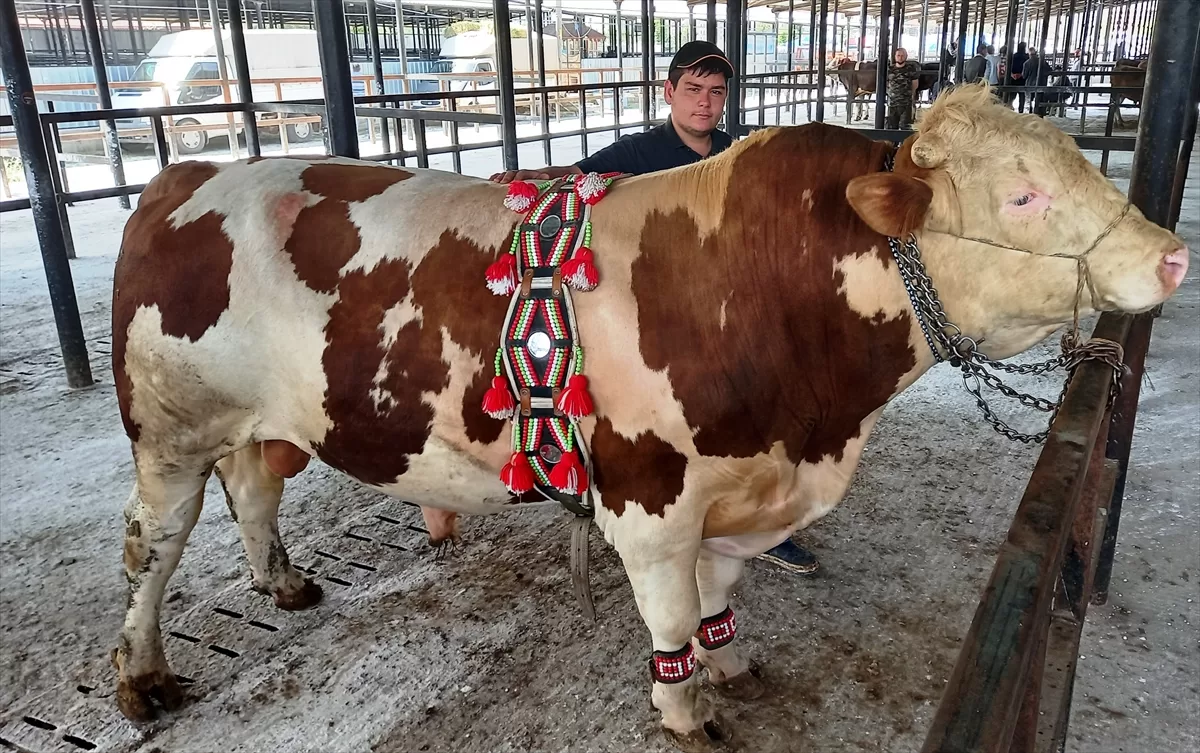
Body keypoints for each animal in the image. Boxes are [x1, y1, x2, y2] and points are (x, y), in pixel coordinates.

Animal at [110, 86, 1180, 748]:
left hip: (252, 422)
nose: (1171, 254)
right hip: (168, 431)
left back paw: (283, 583)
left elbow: (719, 599)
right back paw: (142, 674)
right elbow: (671, 614)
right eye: (1024, 196)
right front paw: (685, 710)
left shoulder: (744, 490)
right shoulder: (651, 501)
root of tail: (184, 176)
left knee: (254, 487)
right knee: (154, 545)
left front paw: (731, 661)